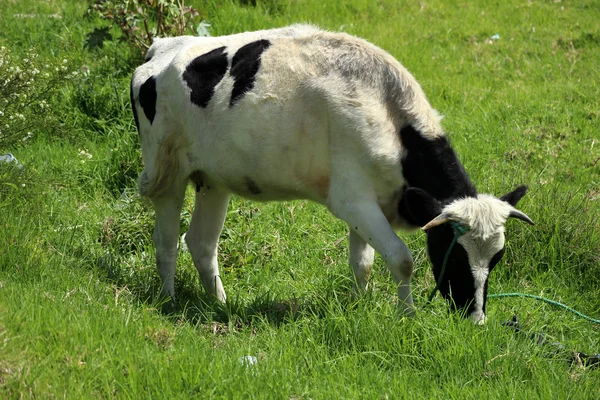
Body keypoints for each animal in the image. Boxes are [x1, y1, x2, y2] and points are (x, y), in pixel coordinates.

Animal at [131, 25, 536, 324]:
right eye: (454, 257)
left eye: (496, 259)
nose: (476, 320)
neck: (386, 110)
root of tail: (164, 46)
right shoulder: (351, 200)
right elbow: (401, 259)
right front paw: (406, 317)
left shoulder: (370, 201)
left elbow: (363, 263)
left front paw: (360, 307)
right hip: (166, 172)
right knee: (167, 240)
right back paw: (168, 300)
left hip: (213, 180)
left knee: (201, 243)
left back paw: (219, 305)